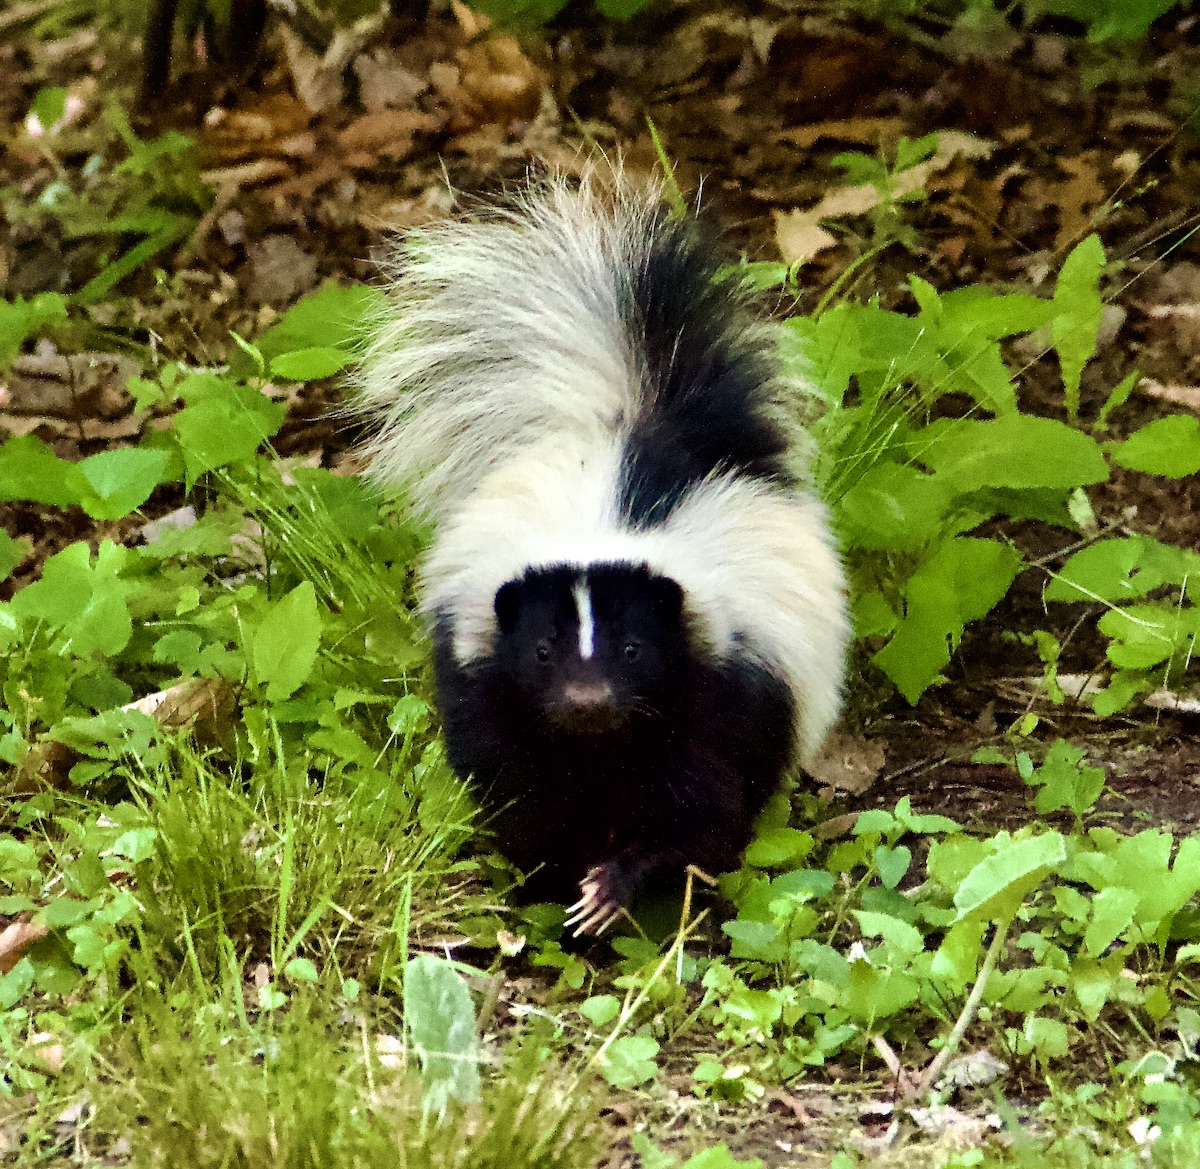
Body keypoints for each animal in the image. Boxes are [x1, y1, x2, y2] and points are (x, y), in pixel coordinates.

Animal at [350, 178, 849, 936]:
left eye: (636, 648)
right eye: (542, 649)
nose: (589, 700)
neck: (600, 747)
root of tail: (641, 417)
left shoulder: (721, 693)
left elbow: (699, 813)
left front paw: (612, 887)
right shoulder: (495, 698)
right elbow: (524, 800)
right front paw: (553, 886)